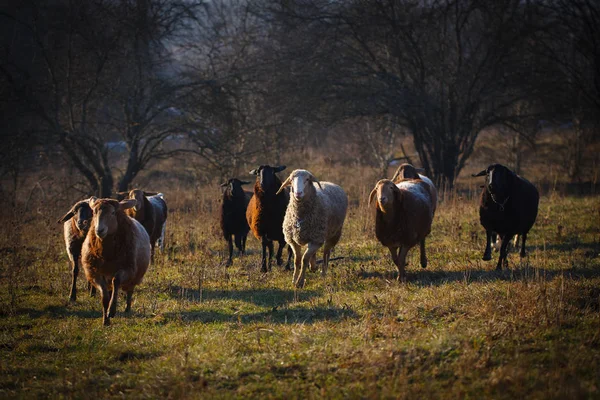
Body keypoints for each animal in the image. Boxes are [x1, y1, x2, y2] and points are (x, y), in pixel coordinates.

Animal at [81, 198, 151, 326]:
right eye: (94, 212)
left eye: (113, 213)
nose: (99, 230)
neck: (107, 255)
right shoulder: (95, 273)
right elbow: (104, 297)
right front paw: (105, 320)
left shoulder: (127, 269)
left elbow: (116, 281)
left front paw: (112, 310)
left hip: (134, 276)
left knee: (129, 291)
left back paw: (127, 309)